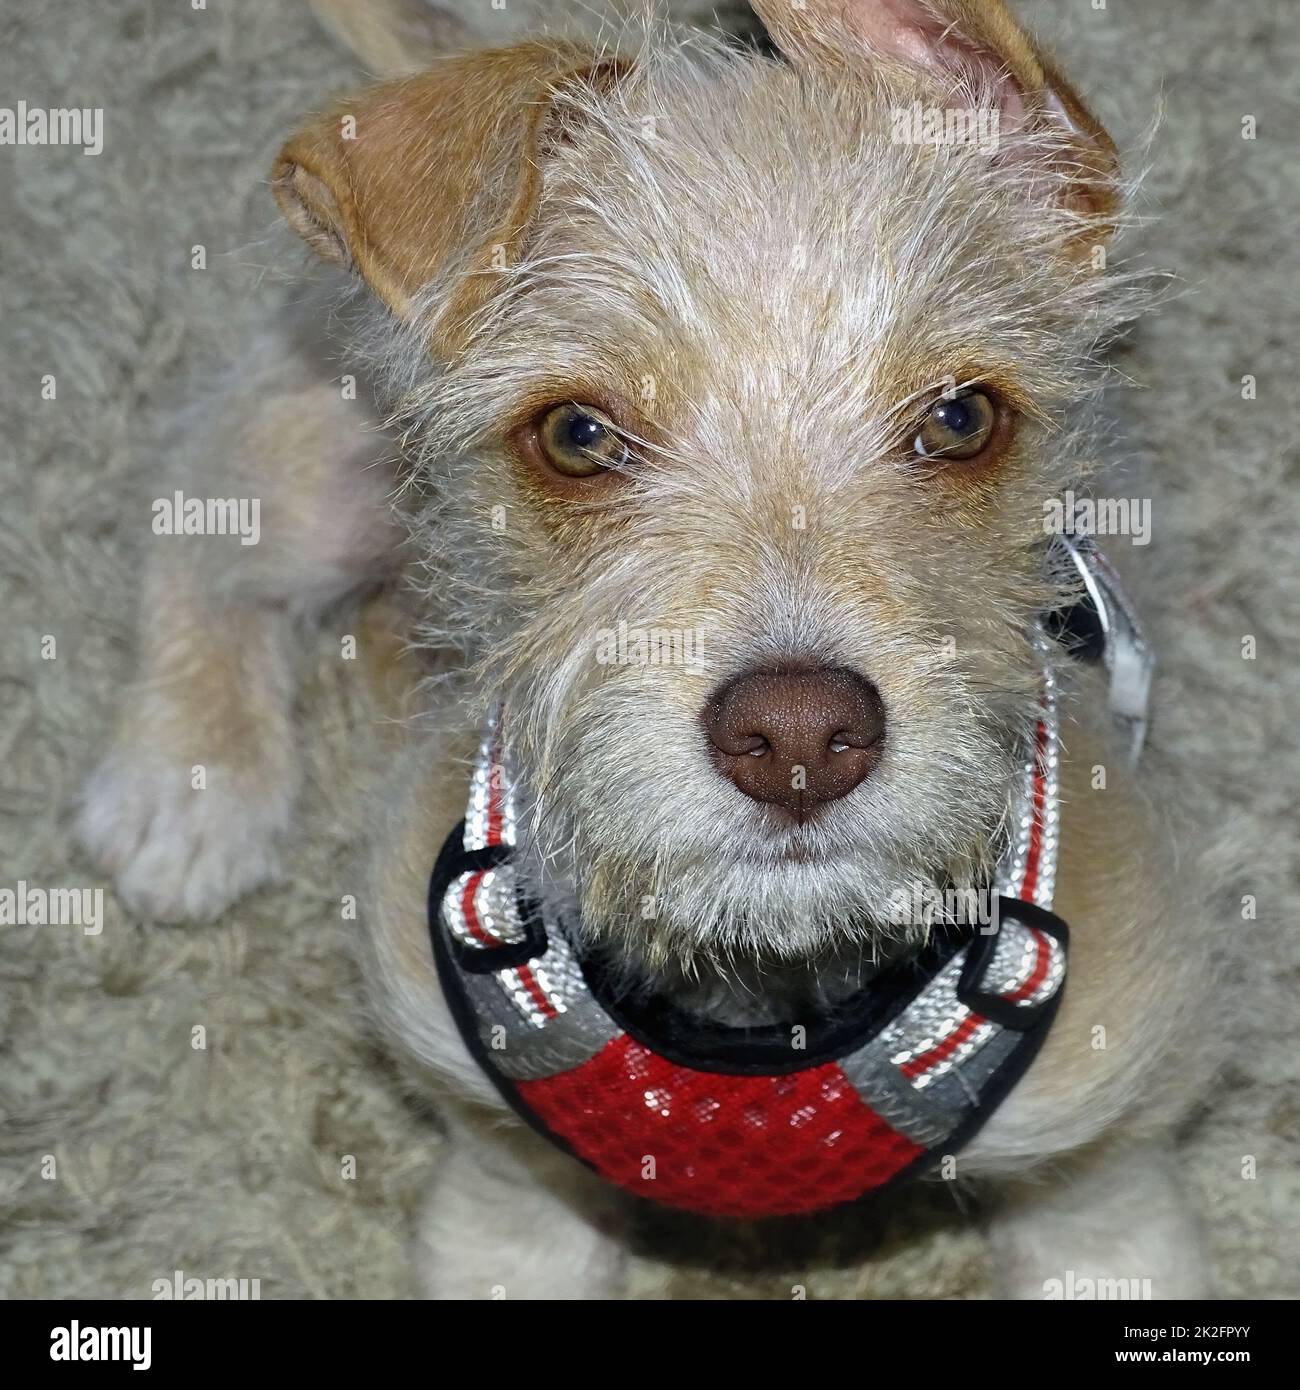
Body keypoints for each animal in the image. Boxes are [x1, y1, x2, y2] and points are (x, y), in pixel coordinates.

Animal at [83, 2, 1217, 1301]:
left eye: (960, 419)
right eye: (577, 436)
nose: (796, 738)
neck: (767, 1004)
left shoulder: (1105, 1149)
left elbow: (1102, 1214)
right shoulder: (500, 1165)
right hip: (325, 475)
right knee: (196, 511)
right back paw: (186, 784)